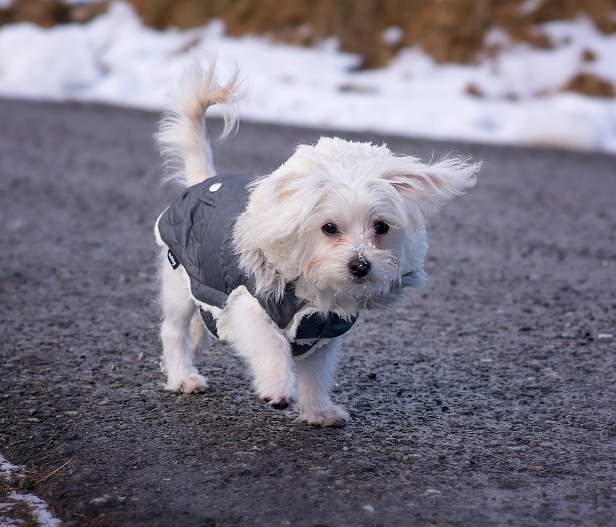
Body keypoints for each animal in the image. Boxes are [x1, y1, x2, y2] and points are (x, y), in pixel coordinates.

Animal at [154, 58, 482, 428]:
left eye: (381, 227)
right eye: (329, 227)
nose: (360, 265)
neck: (315, 293)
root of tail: (203, 182)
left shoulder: (323, 332)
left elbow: (316, 376)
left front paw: (316, 411)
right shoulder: (250, 306)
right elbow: (271, 346)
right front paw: (278, 387)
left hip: (201, 285)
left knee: (199, 320)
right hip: (178, 280)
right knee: (173, 330)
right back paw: (182, 376)